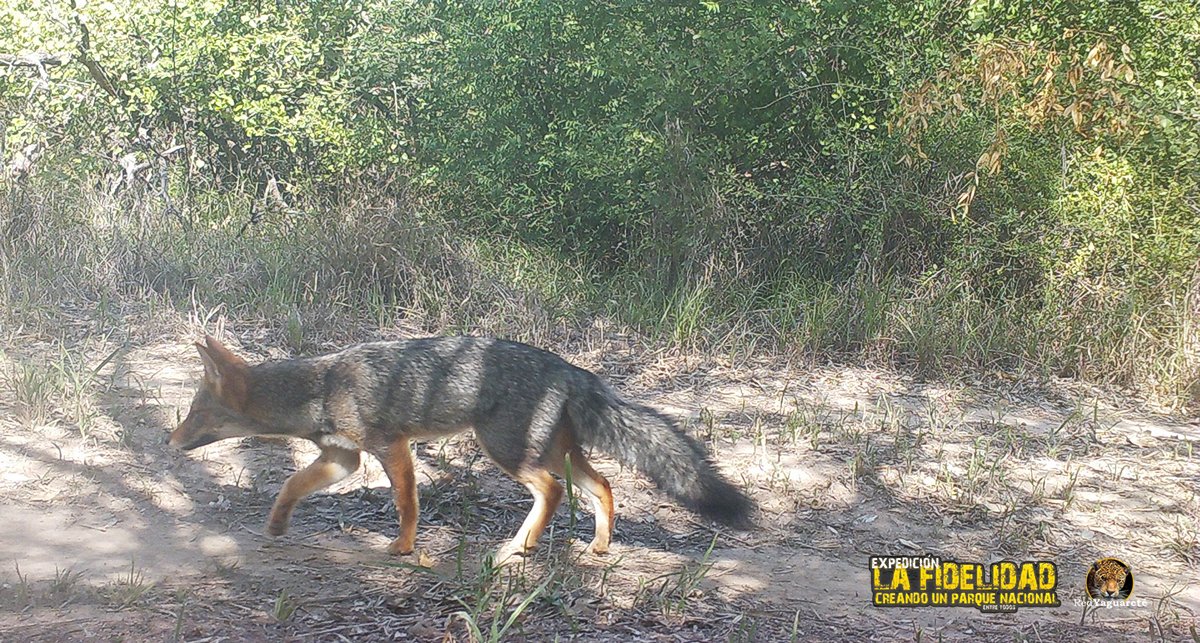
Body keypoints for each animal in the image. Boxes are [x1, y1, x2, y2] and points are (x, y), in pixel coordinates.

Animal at [168, 335, 754, 564]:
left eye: (193, 414)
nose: (167, 440)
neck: (321, 385)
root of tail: (569, 367)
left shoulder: (392, 447)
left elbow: (406, 503)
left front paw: (404, 548)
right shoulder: (343, 457)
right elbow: (291, 483)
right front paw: (275, 524)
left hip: (508, 454)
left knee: (552, 493)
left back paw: (517, 547)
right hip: (555, 454)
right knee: (603, 487)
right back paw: (597, 547)